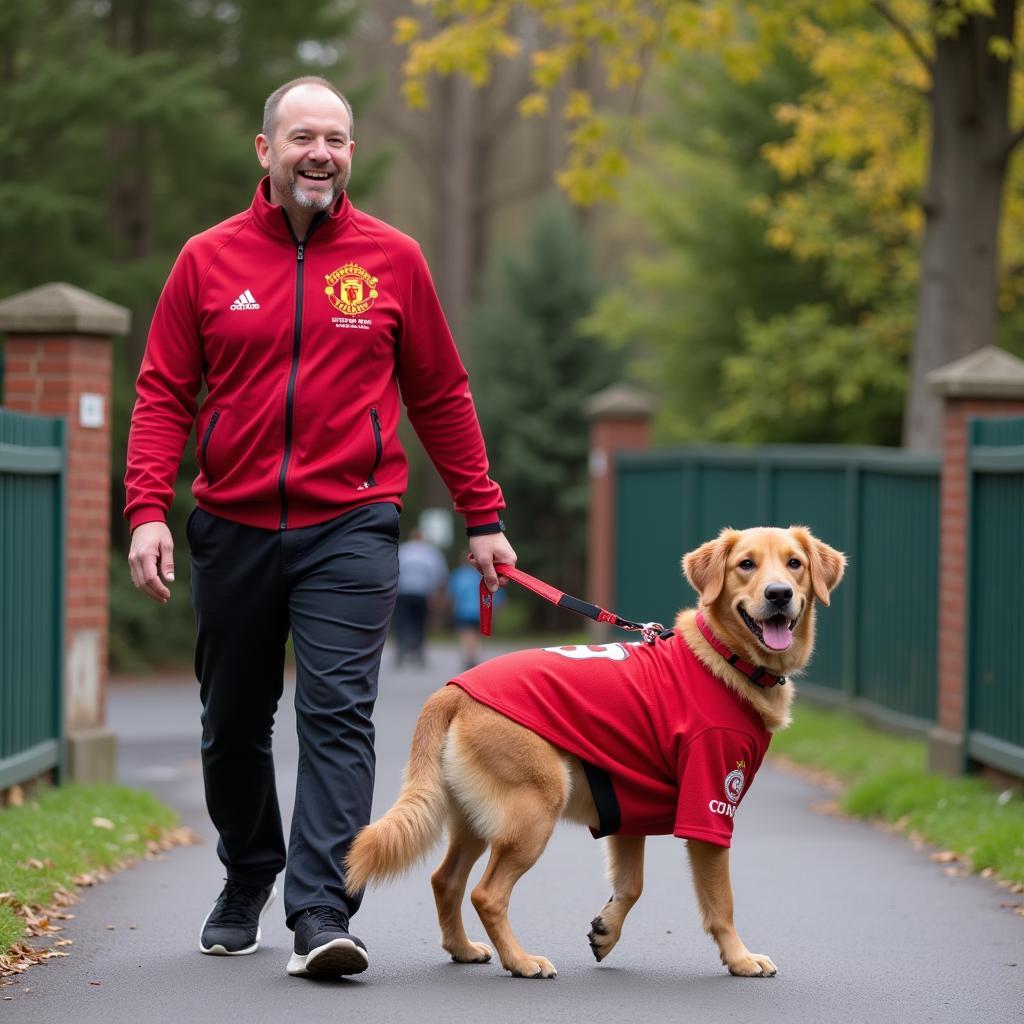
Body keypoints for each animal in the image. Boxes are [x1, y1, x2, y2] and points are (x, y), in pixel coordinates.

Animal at [348, 524, 843, 978]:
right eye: (746, 565)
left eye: (794, 564)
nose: (779, 594)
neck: (723, 656)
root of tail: (453, 691)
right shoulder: (710, 809)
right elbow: (721, 904)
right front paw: (740, 959)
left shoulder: (628, 812)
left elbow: (631, 886)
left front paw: (606, 931)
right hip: (532, 814)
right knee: (487, 894)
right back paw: (521, 961)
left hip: (477, 820)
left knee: (445, 881)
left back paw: (463, 948)